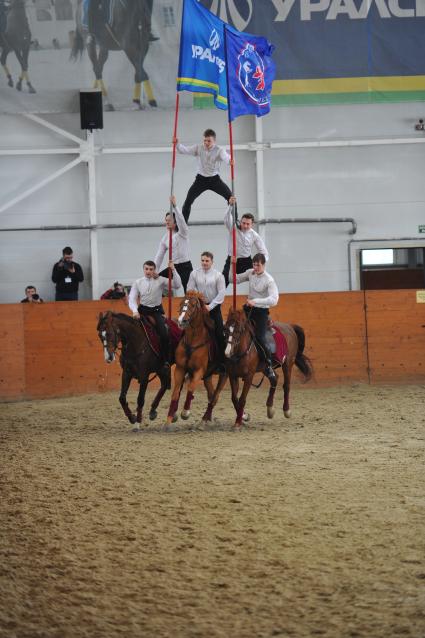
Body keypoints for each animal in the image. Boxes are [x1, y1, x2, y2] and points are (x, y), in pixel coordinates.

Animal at [165, 292, 227, 428]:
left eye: (193, 305)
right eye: (181, 303)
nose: (181, 321)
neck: (192, 341)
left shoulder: (199, 371)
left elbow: (191, 388)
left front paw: (185, 412)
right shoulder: (180, 369)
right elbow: (175, 392)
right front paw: (170, 418)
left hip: (225, 375)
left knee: (215, 396)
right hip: (208, 376)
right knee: (211, 395)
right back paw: (205, 420)